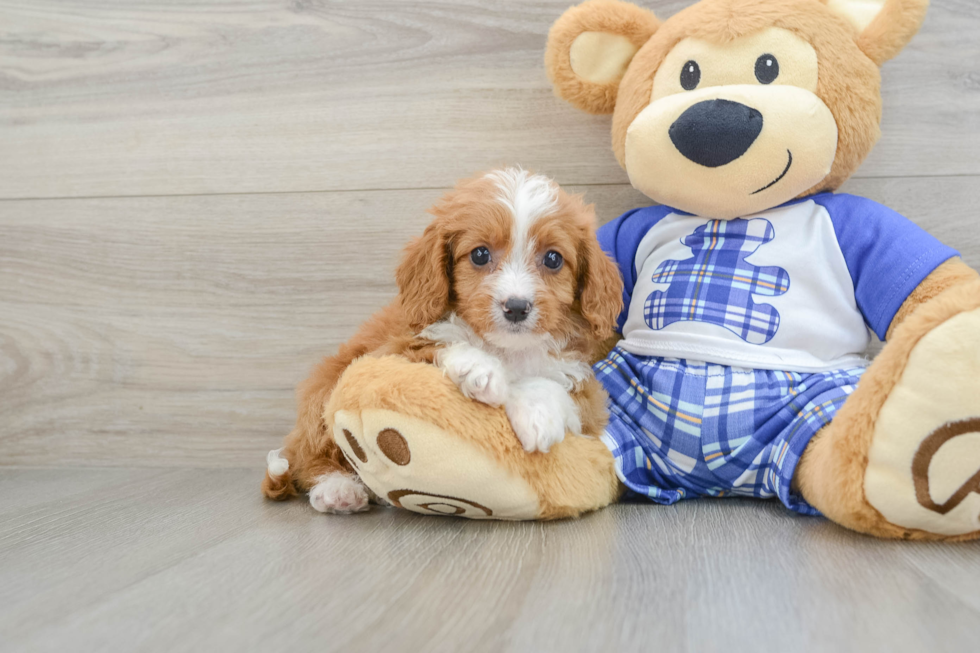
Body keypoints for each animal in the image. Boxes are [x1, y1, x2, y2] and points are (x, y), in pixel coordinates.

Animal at [264, 168, 624, 516]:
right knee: (309, 456)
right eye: (480, 254)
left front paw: (538, 414)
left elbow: (556, 389)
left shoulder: (586, 396)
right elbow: (442, 344)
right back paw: (338, 489)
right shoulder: (394, 348)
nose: (517, 307)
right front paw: (482, 371)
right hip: (323, 391)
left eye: (552, 259)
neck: (505, 349)